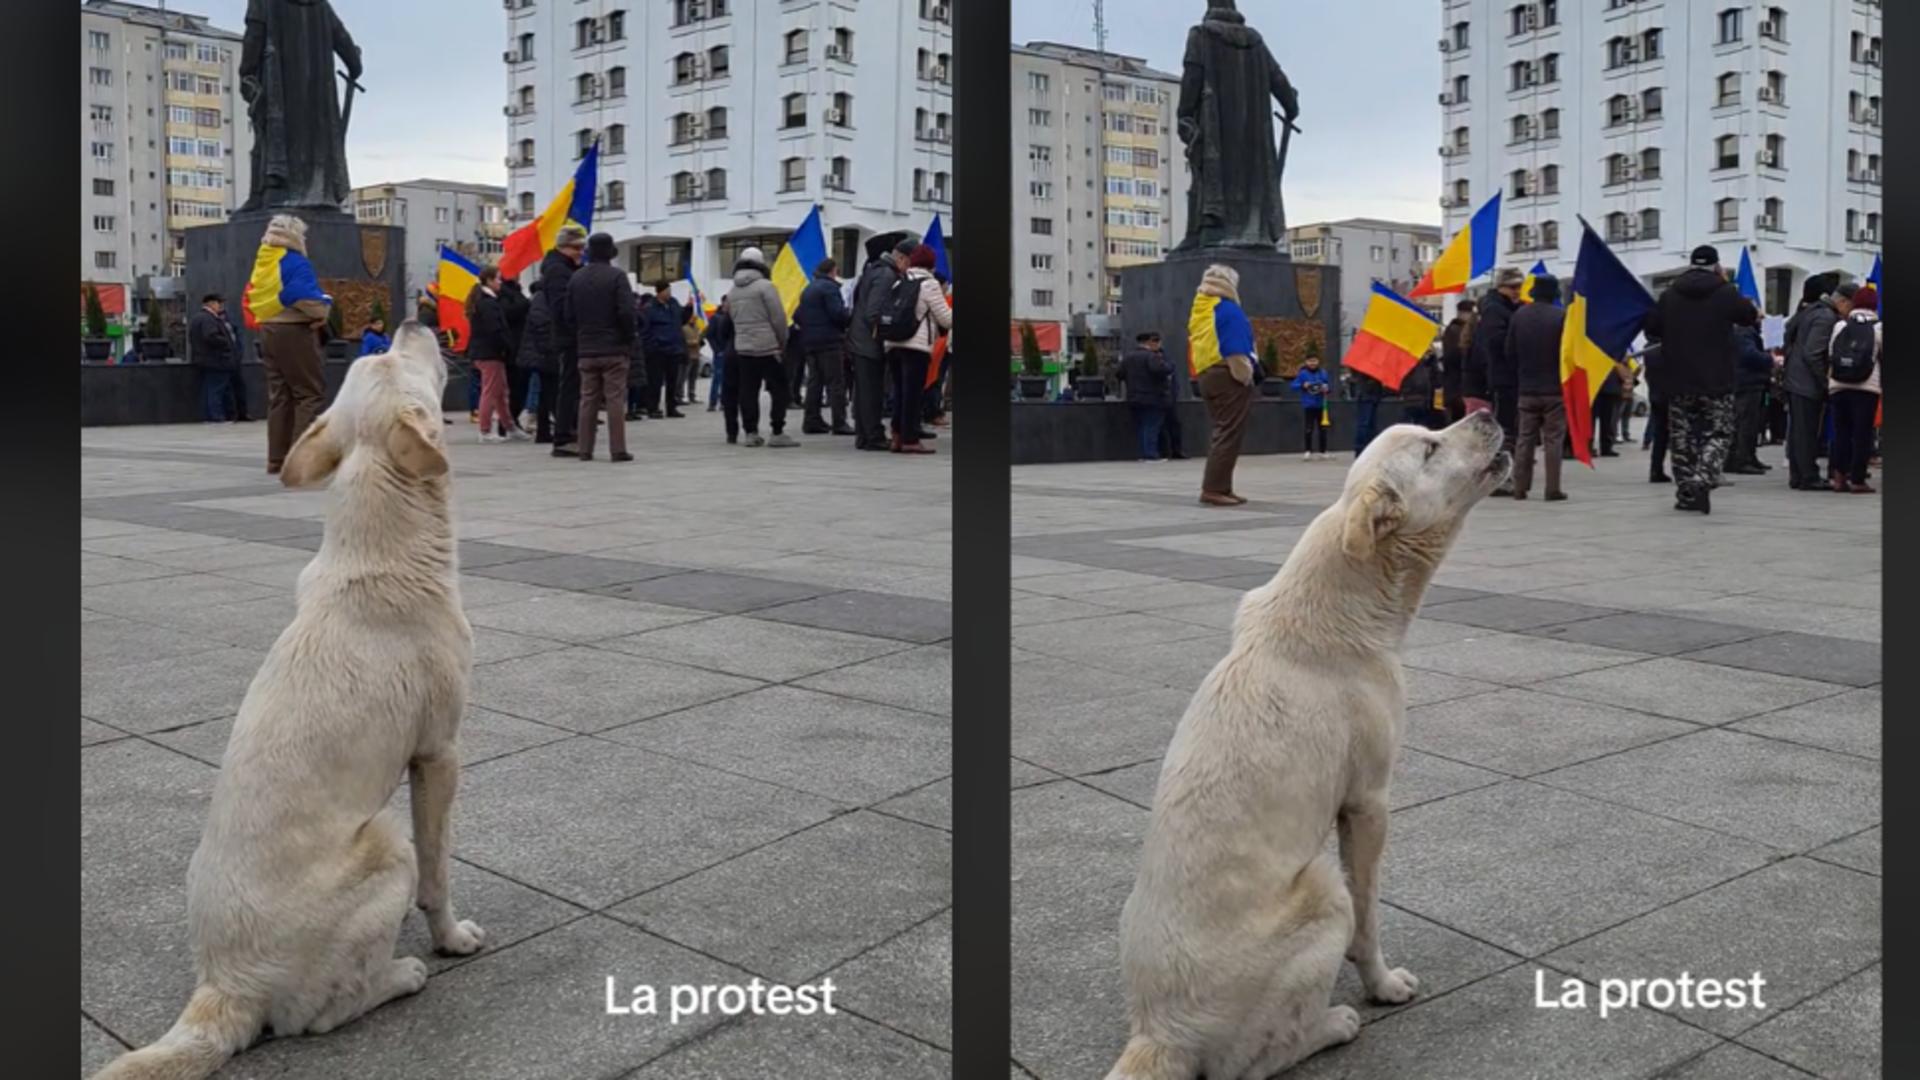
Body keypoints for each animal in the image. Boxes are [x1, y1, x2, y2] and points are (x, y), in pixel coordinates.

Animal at [96, 319, 487, 1076]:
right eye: (394, 359)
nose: (411, 320)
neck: (382, 549)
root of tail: (226, 985)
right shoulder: (438, 755)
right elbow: (439, 868)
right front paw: (449, 936)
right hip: (383, 838)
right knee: (318, 1018)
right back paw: (402, 973)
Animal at [1113, 407, 1512, 1068]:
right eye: (1430, 449)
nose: (1484, 411)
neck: (1356, 600)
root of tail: (1158, 1033)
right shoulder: (1369, 803)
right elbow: (1370, 914)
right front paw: (1382, 985)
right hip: (1322, 887)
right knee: (1252, 1062)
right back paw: (1335, 1023)